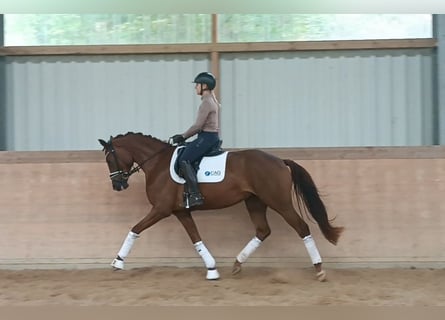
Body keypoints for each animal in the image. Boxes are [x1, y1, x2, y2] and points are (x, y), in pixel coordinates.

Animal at [99, 131, 344, 282]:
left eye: (110, 159)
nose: (118, 185)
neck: (157, 164)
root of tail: (280, 161)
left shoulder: (161, 210)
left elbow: (135, 229)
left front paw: (118, 262)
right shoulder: (180, 212)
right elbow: (196, 239)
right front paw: (212, 269)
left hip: (279, 203)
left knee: (302, 228)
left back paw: (319, 270)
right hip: (254, 202)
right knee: (263, 231)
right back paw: (237, 264)